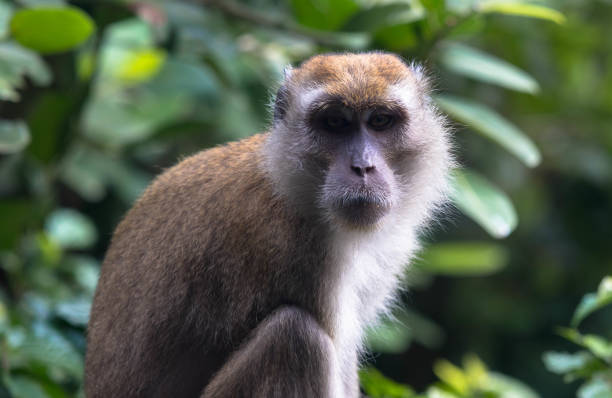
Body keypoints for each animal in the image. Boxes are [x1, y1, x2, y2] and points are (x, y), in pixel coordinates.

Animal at [83, 52, 452, 398]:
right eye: (334, 122)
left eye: (380, 121)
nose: (363, 167)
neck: (296, 188)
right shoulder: (300, 252)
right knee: (294, 336)